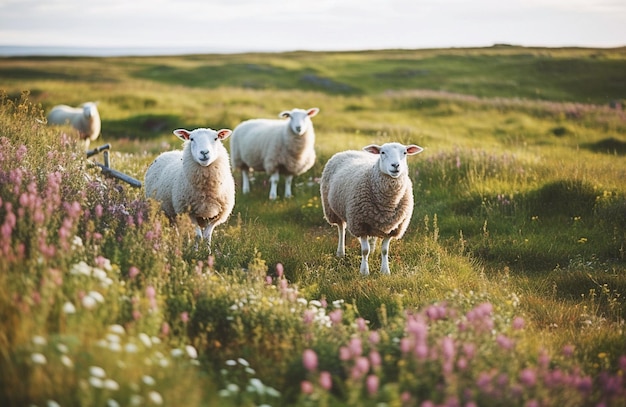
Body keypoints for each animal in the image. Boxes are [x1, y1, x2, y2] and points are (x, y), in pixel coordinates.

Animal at [320, 142, 422, 276]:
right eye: (382, 152)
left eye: (404, 153)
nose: (395, 165)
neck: (387, 204)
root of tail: (349, 151)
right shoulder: (360, 224)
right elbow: (364, 250)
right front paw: (364, 271)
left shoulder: (393, 228)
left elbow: (384, 250)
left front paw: (385, 271)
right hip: (332, 210)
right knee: (341, 229)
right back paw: (340, 253)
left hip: (374, 221)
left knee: (372, 237)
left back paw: (372, 251)